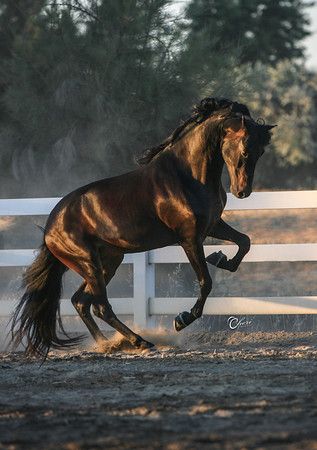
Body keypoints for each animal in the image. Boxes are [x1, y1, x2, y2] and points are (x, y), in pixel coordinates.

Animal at [10, 96, 274, 356]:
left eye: (261, 152)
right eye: (245, 150)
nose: (242, 192)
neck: (187, 176)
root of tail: (50, 226)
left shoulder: (212, 225)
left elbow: (244, 242)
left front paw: (221, 259)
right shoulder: (189, 238)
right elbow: (206, 282)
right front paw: (182, 319)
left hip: (108, 261)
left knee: (82, 302)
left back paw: (108, 344)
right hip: (88, 263)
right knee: (100, 306)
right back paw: (138, 341)